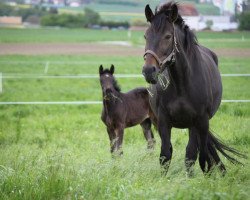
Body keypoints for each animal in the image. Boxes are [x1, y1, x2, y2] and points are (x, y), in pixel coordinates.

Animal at [142, 1, 245, 174]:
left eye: (168, 36)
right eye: (146, 36)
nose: (149, 71)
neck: (182, 85)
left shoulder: (199, 121)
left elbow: (194, 156)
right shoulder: (163, 122)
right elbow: (165, 155)